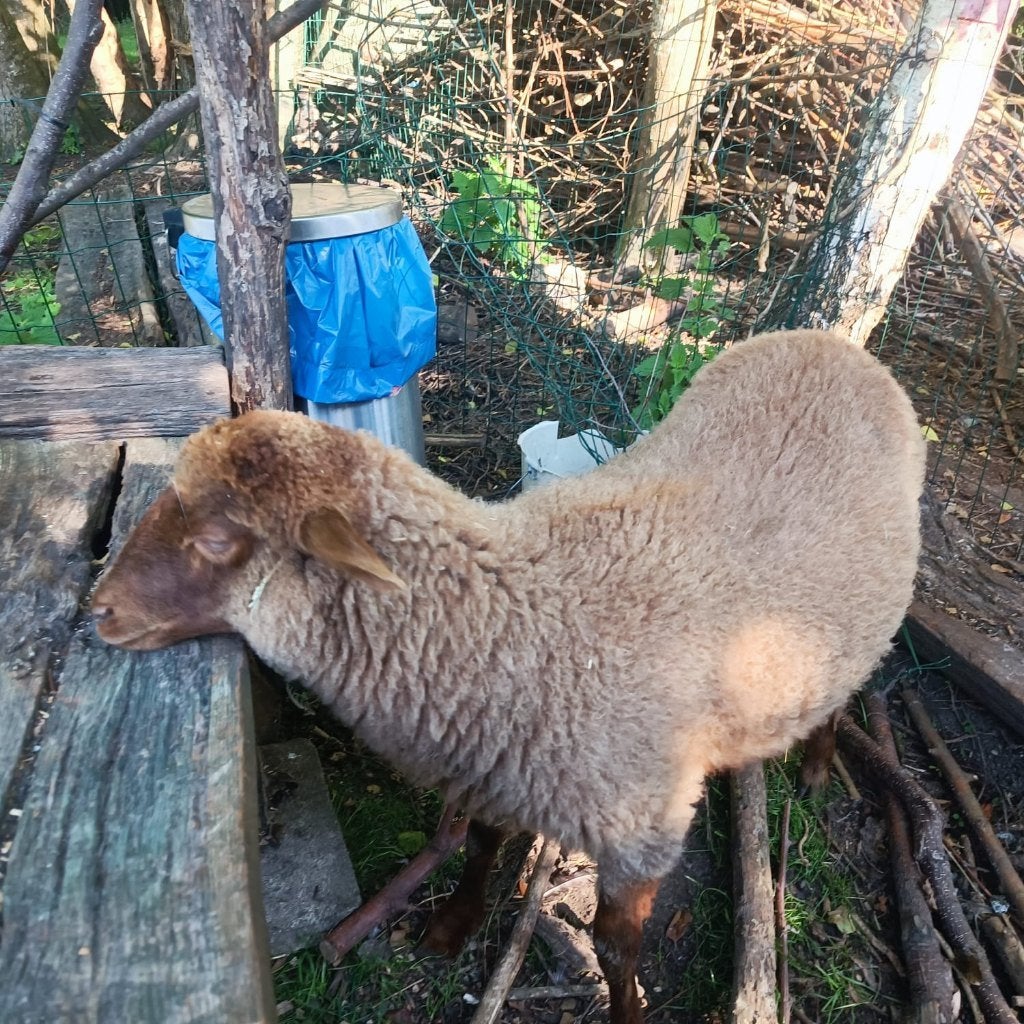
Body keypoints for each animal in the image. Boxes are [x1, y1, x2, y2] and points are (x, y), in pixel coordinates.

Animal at [91, 328, 925, 1024]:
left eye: (216, 538)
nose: (97, 608)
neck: (515, 622)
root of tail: (834, 342)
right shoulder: (499, 764)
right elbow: (484, 843)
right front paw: (452, 924)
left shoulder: (644, 827)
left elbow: (615, 946)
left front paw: (626, 1010)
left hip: (862, 616)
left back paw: (817, 764)